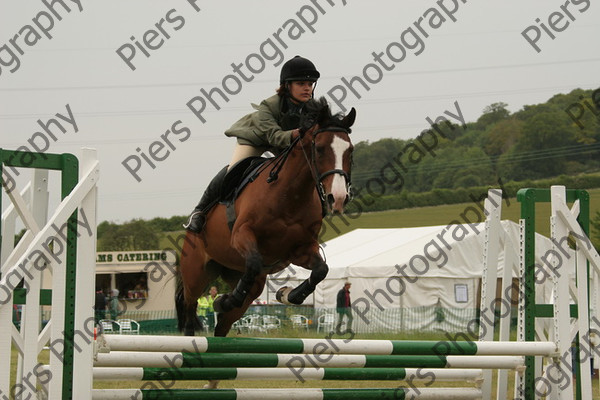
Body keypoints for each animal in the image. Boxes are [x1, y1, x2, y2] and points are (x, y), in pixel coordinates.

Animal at [175, 97, 356, 340]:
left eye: (350, 151)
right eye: (319, 149)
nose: (338, 197)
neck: (289, 195)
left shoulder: (299, 250)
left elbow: (321, 270)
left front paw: (288, 295)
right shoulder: (241, 235)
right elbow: (253, 262)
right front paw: (228, 299)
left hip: (249, 283)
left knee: (225, 322)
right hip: (195, 273)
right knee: (189, 307)